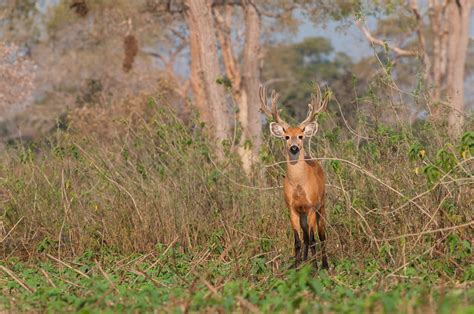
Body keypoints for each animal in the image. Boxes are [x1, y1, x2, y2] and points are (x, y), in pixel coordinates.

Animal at [260, 84, 330, 268]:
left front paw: (315, 267)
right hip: (304, 214)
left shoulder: (311, 206)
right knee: (305, 237)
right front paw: (298, 266)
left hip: (322, 205)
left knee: (322, 236)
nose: (293, 147)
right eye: (286, 136)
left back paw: (325, 265)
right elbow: (297, 241)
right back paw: (305, 261)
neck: (299, 185)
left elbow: (313, 239)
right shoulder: (292, 208)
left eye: (300, 136)